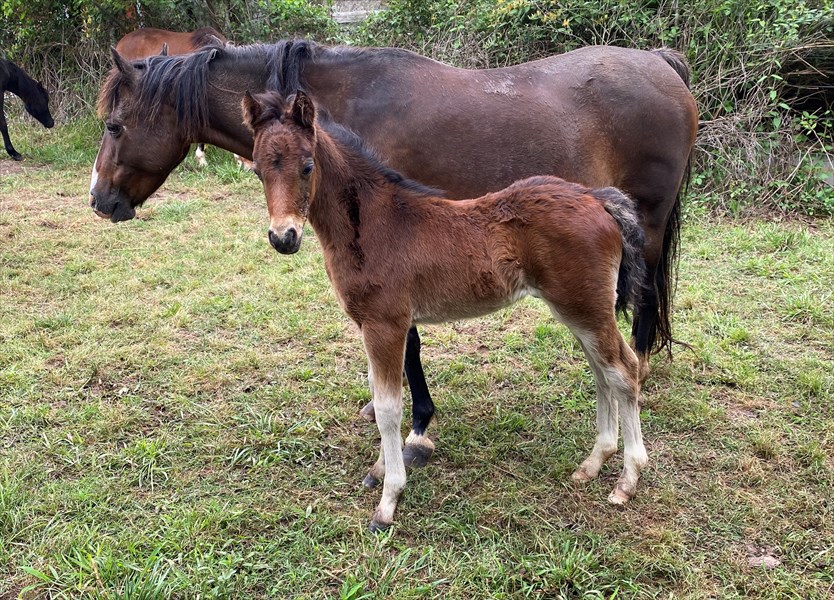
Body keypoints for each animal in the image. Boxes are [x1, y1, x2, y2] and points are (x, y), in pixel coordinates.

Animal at [243, 89, 650, 530]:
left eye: (307, 166)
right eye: (258, 171)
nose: (283, 237)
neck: (374, 223)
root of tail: (597, 198)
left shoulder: (386, 324)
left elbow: (388, 408)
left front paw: (388, 501)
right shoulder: (370, 326)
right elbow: (380, 395)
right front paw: (379, 471)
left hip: (585, 307)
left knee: (623, 369)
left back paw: (627, 481)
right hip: (579, 309)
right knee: (601, 371)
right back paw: (592, 464)